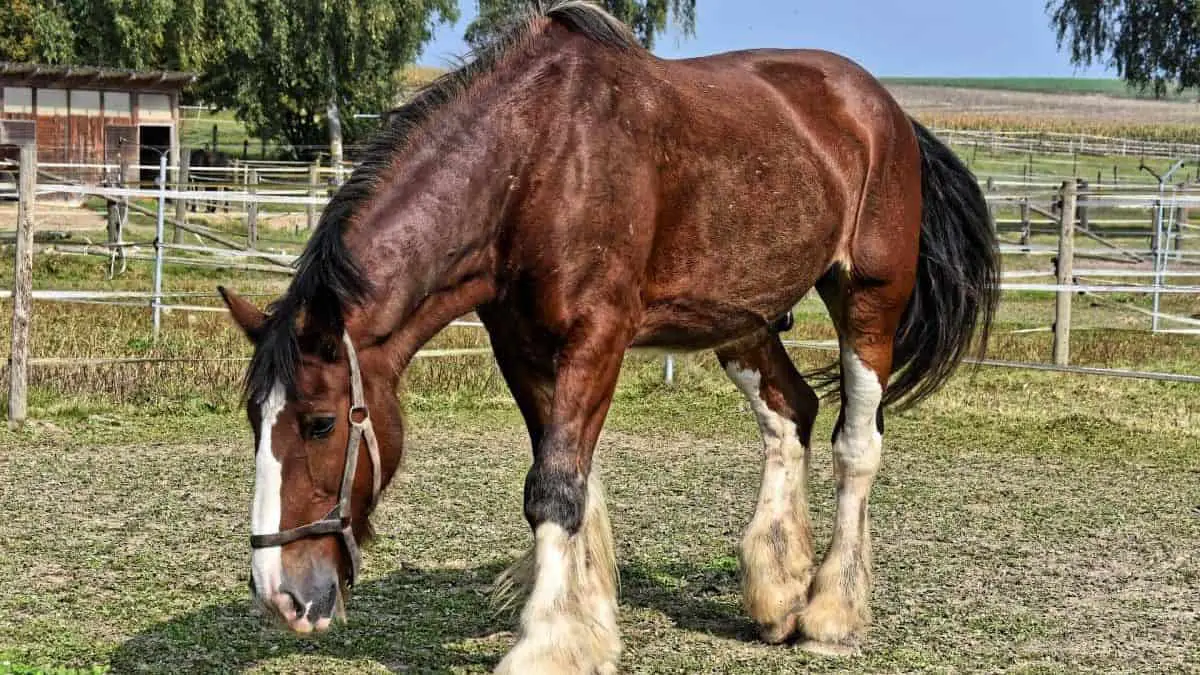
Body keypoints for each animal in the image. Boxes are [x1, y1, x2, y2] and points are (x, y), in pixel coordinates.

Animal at [218, 2, 1003, 667]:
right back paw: (779, 592)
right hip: (741, 319)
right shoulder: (522, 348)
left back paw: (830, 613)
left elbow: (556, 488)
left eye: (320, 423)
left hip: (867, 299)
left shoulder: (596, 340)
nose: (280, 593)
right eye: (254, 419)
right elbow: (569, 481)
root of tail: (887, 110)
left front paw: (545, 647)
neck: (536, 161)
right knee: (791, 414)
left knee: (855, 444)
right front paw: (586, 627)